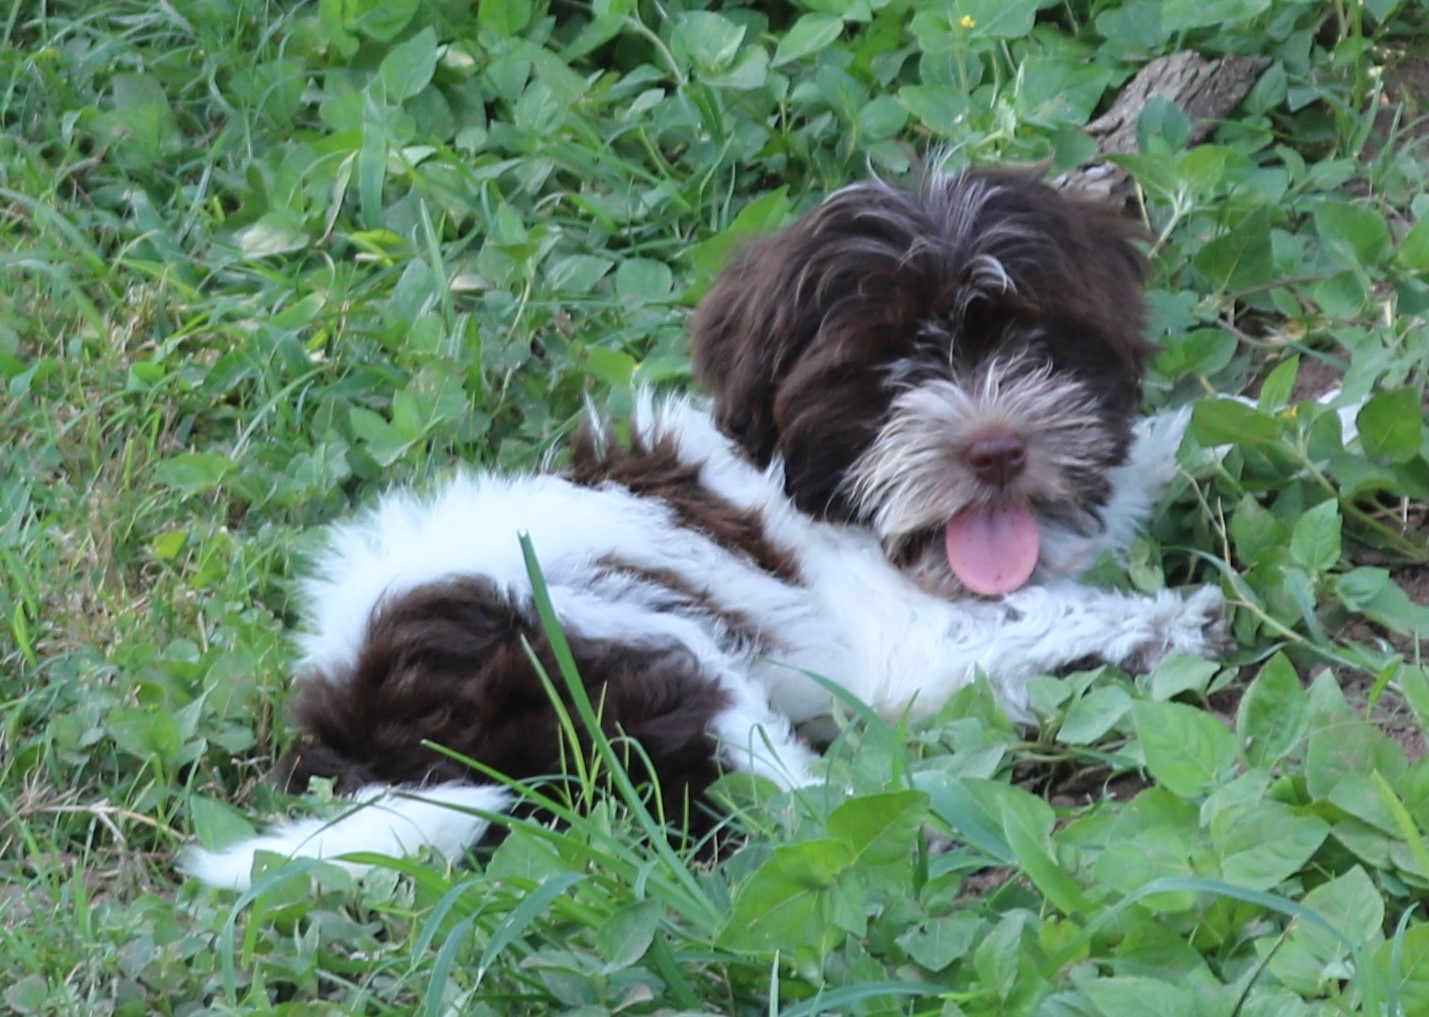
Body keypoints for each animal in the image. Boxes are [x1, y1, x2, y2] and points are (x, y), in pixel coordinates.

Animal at [184, 170, 1223, 885]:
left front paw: (1226, 432)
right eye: (888, 369)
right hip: (609, 652)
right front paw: (1167, 617)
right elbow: (1030, 612)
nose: (996, 449)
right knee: (787, 794)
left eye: (1029, 342)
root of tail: (381, 747)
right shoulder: (903, 637)